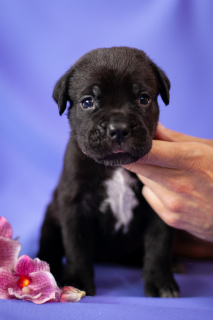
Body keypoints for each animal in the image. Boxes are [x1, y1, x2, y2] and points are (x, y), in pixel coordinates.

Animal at [38, 47, 180, 298]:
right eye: (87, 102)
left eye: (143, 98)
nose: (119, 129)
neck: (116, 167)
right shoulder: (75, 205)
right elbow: (76, 246)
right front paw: (77, 281)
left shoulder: (158, 206)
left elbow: (159, 245)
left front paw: (161, 282)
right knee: (49, 242)